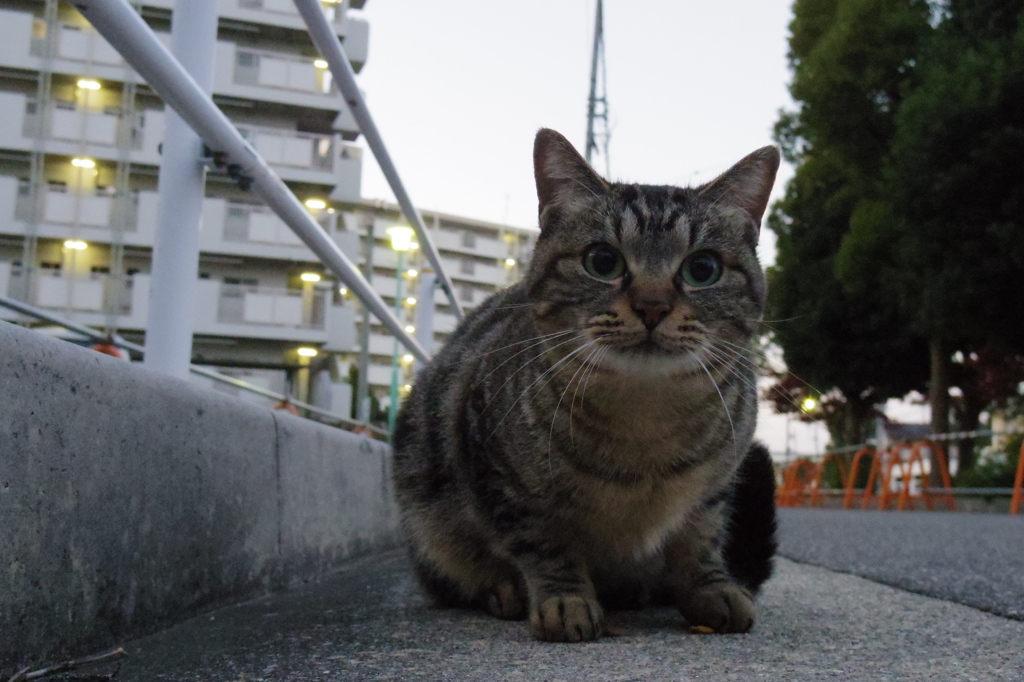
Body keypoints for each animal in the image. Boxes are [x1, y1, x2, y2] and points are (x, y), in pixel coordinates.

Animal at [395, 129, 778, 643]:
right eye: (602, 261)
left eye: (703, 269)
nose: (653, 305)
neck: (644, 423)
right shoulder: (500, 476)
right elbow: (544, 546)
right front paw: (566, 599)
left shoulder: (715, 488)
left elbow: (701, 540)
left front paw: (712, 586)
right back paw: (505, 591)